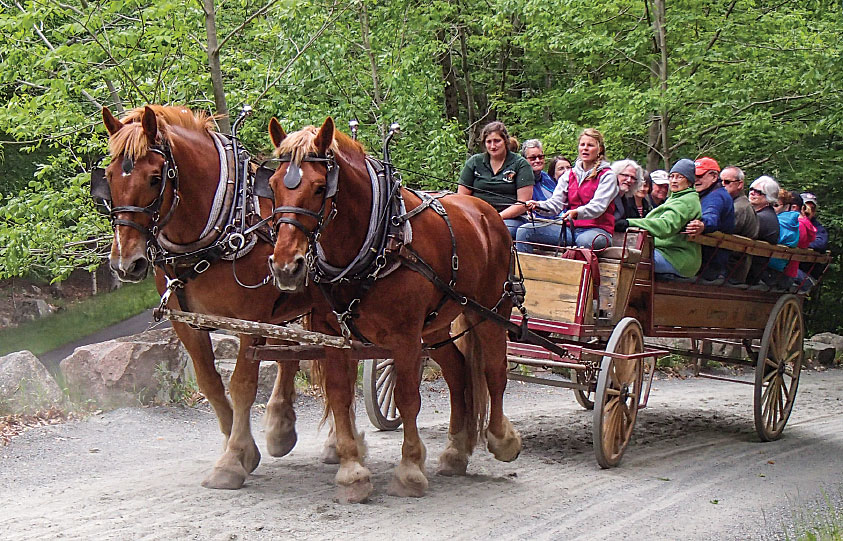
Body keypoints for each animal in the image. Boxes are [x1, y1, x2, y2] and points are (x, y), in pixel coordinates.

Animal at [99, 105, 316, 490]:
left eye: (154, 178)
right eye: (109, 176)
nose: (126, 262)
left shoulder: (250, 320)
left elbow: (242, 384)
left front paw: (232, 460)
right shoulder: (186, 322)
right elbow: (210, 384)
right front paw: (242, 451)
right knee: (293, 353)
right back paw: (280, 427)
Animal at [268, 116, 524, 500]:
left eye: (318, 188)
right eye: (272, 186)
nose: (286, 267)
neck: (378, 238)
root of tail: (485, 212)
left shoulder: (405, 336)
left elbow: (406, 398)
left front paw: (410, 469)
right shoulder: (334, 333)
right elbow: (340, 394)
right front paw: (352, 471)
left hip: (490, 312)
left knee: (494, 370)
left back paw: (501, 439)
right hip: (436, 327)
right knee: (458, 372)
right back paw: (455, 451)